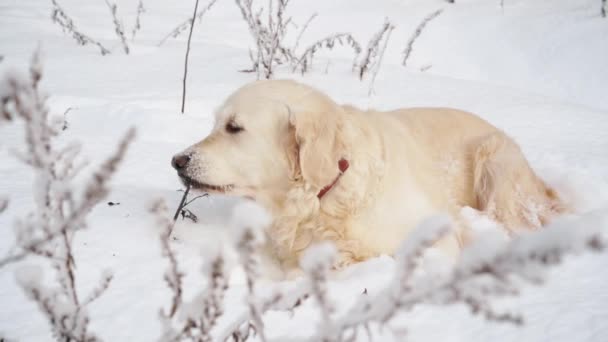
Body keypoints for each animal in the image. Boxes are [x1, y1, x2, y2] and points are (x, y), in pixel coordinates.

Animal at [171, 79, 564, 272]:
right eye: (216, 123)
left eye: (234, 127)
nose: (176, 160)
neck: (325, 194)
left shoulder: (437, 241)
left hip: (495, 161)